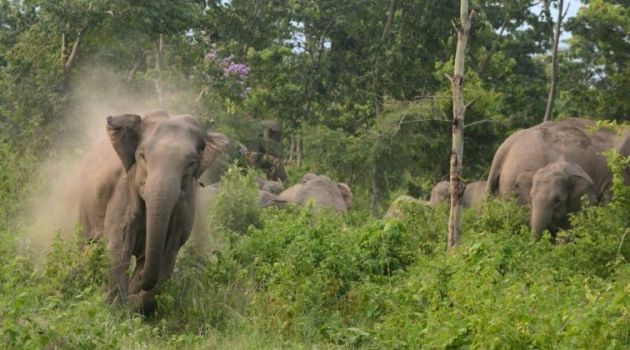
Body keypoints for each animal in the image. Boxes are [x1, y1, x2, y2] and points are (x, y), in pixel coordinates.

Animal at [78, 110, 228, 314]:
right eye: (142, 155)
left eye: (191, 163)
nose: (139, 282)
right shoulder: (123, 192)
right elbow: (119, 245)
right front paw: (115, 309)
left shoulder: (185, 207)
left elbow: (168, 253)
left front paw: (133, 302)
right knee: (88, 244)